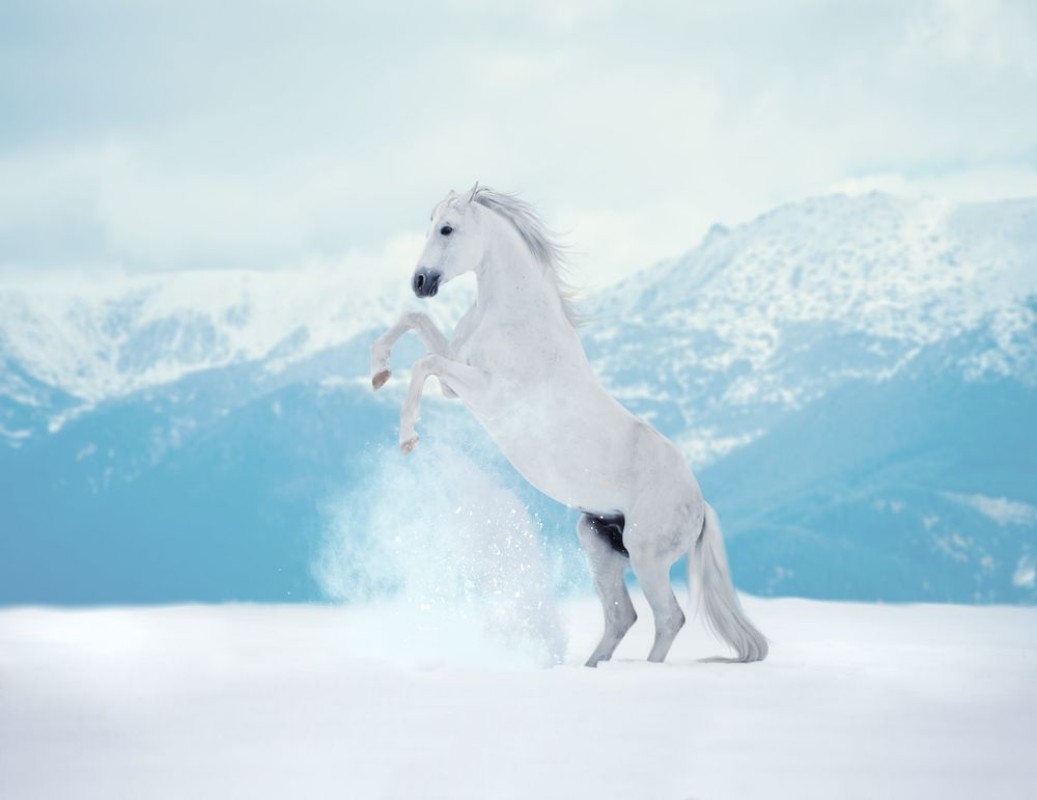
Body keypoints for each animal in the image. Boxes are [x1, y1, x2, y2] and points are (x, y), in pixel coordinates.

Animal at [370, 184, 768, 666]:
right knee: (622, 616)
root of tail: (700, 503)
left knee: (668, 618)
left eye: (446, 228)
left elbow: (423, 362)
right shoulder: (455, 381)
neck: (514, 317)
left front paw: (408, 437)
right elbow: (415, 325)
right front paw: (378, 371)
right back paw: (591, 668)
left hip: (648, 557)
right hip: (598, 542)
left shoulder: (486, 392)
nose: (420, 282)